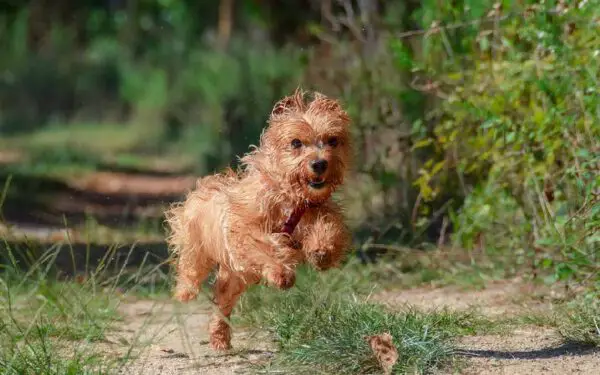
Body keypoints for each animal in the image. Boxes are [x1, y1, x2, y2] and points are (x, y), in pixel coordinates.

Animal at [164, 89, 352, 352]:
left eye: (332, 140)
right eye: (296, 143)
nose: (319, 163)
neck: (289, 197)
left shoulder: (316, 211)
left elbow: (327, 226)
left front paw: (322, 251)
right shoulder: (246, 230)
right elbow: (265, 247)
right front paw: (281, 273)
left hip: (235, 278)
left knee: (222, 303)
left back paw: (219, 337)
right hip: (196, 246)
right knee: (190, 267)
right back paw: (185, 291)